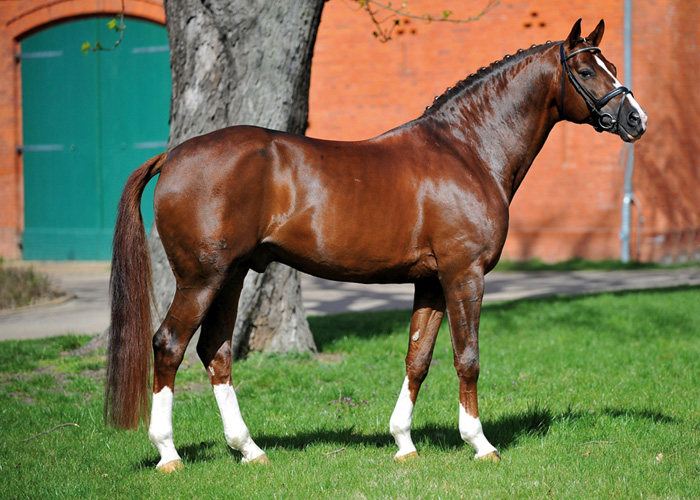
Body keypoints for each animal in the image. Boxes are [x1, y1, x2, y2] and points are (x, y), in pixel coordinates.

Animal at [102, 19, 644, 472]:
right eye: (585, 70)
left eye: (613, 67)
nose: (636, 120)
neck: (467, 151)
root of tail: (173, 155)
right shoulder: (463, 275)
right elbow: (466, 356)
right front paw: (480, 443)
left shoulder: (431, 282)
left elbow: (417, 358)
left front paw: (403, 442)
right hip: (201, 278)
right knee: (169, 345)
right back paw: (169, 454)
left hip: (231, 275)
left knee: (215, 351)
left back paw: (250, 449)